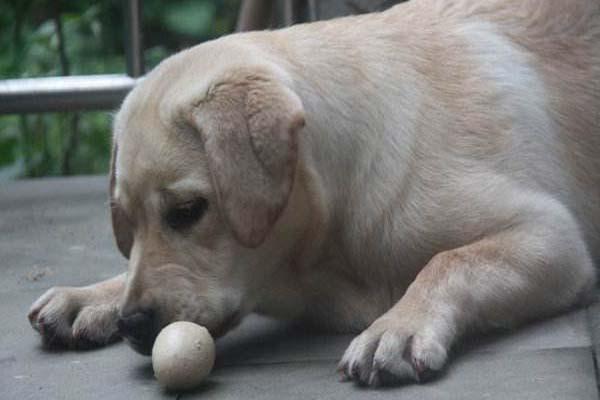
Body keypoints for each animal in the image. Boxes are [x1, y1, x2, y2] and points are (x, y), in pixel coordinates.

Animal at [29, 0, 600, 388]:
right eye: (126, 223)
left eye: (188, 211)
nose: (131, 324)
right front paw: (93, 295)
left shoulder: (551, 235)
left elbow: (449, 260)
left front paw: (399, 325)